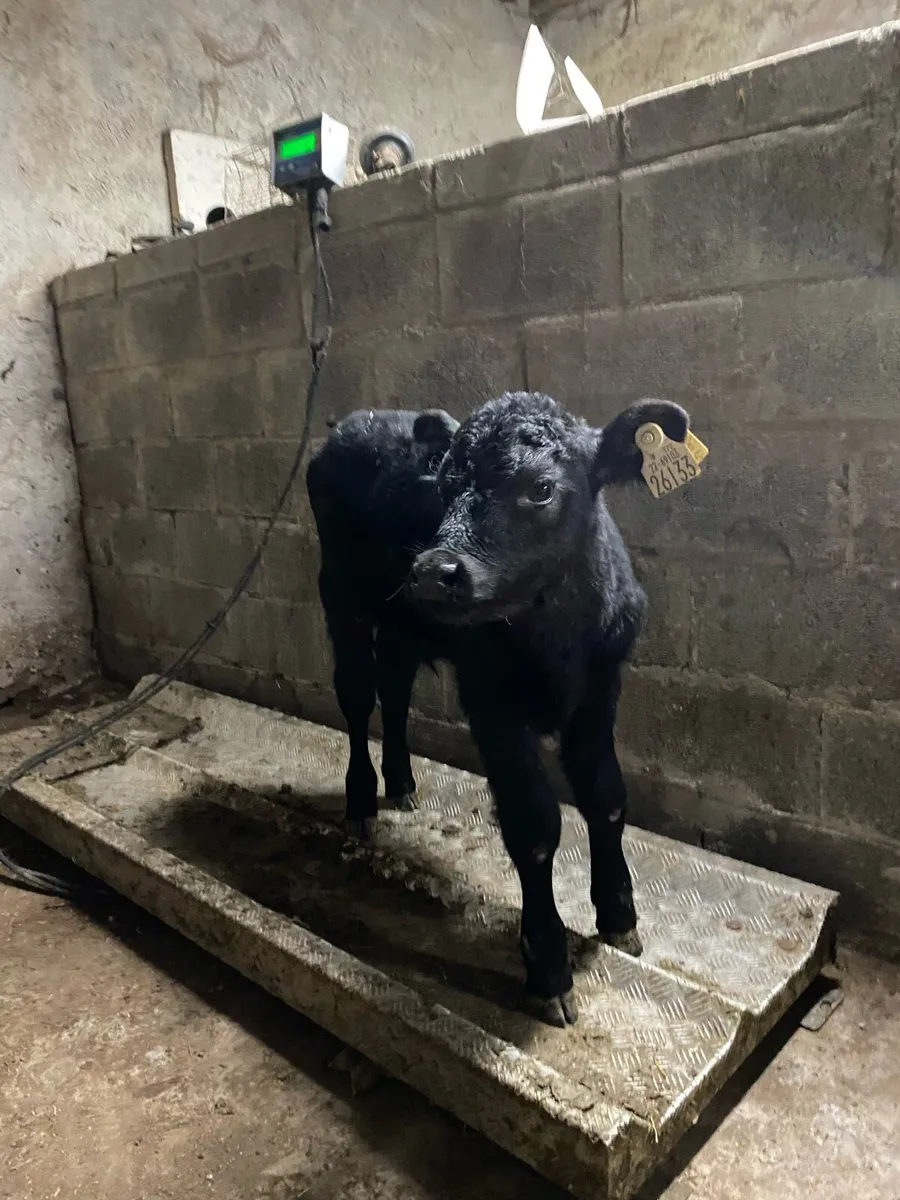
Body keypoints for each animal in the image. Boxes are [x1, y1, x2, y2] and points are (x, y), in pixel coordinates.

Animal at [306, 391, 691, 1026]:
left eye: (540, 488)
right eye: (443, 487)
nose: (431, 571)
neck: (554, 638)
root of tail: (355, 422)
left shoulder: (601, 689)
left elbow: (607, 798)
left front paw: (618, 917)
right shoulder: (491, 704)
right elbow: (534, 827)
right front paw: (549, 969)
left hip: (404, 624)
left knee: (395, 689)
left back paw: (402, 782)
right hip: (340, 594)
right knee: (357, 694)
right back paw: (361, 800)